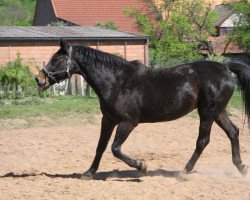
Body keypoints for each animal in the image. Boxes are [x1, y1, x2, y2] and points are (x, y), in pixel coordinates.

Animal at [35, 39, 250, 179]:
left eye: (57, 59)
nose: (39, 79)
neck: (118, 81)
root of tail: (226, 68)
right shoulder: (108, 120)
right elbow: (101, 146)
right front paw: (88, 173)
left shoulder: (128, 122)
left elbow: (115, 149)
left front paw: (142, 166)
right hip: (218, 112)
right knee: (233, 132)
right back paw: (241, 168)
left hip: (207, 112)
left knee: (203, 141)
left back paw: (184, 171)